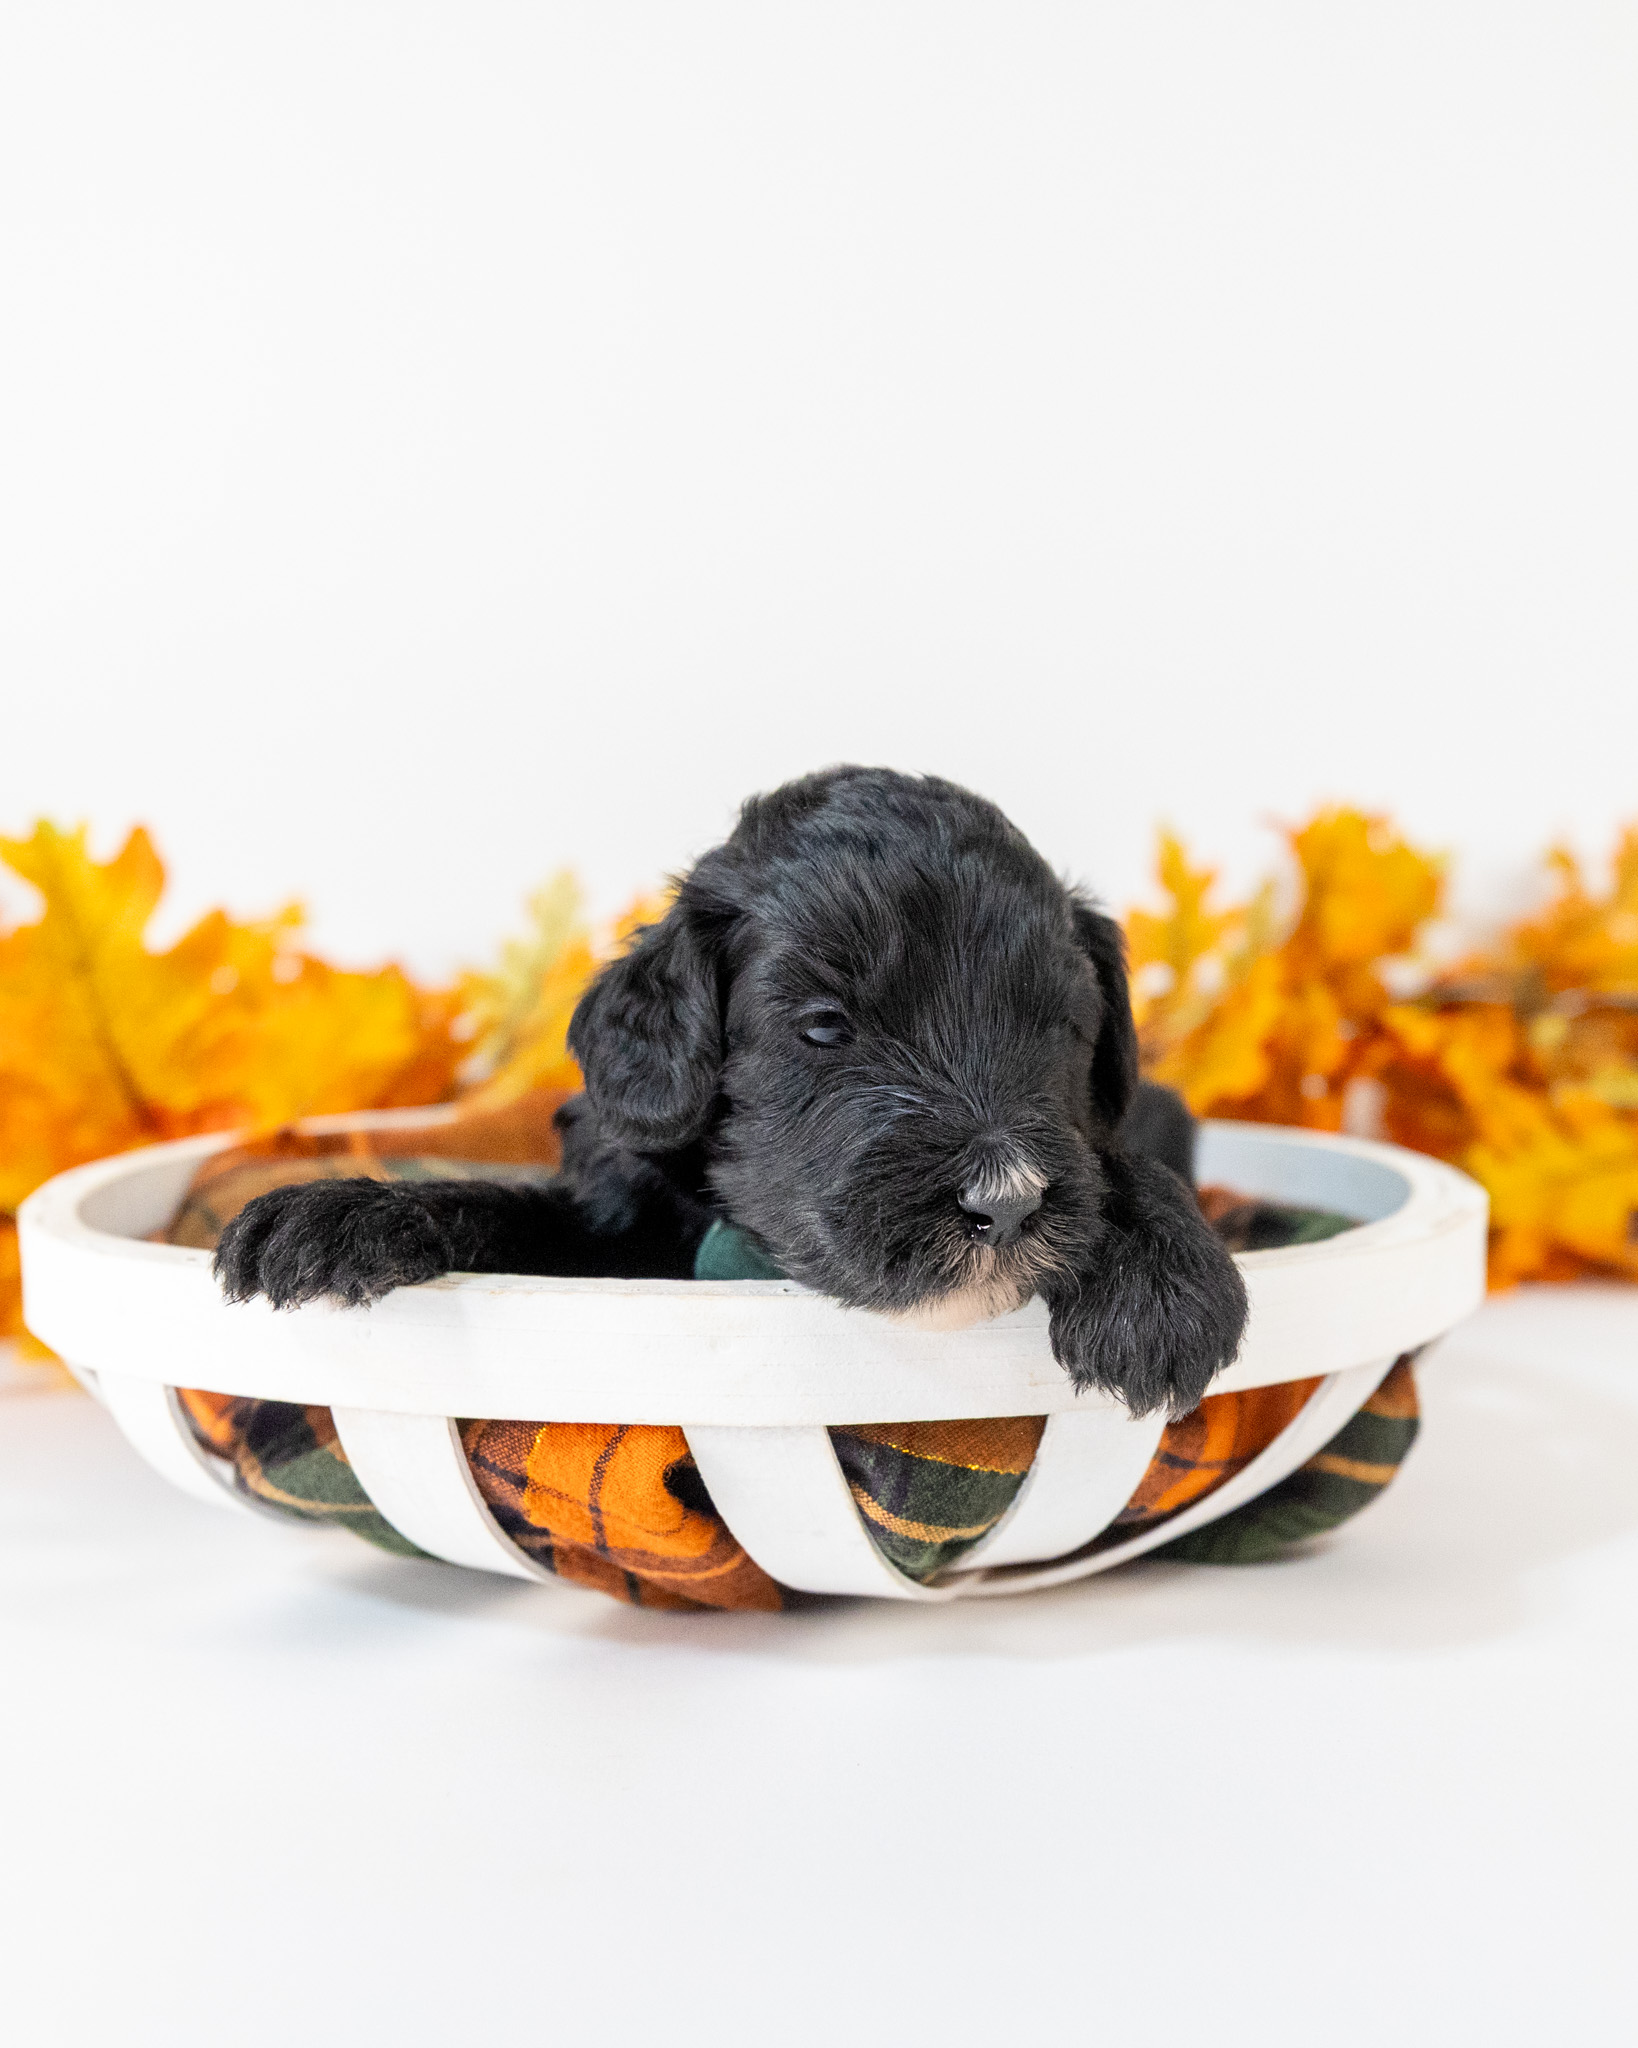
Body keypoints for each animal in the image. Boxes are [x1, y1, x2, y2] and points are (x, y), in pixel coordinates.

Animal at [216, 767, 1248, 1415]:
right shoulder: (615, 1220)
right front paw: (345, 1212)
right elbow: (506, 1208)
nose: (1008, 1200)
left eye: (1061, 1029)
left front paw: (1160, 1287)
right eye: (824, 1027)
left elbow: (1121, 1161)